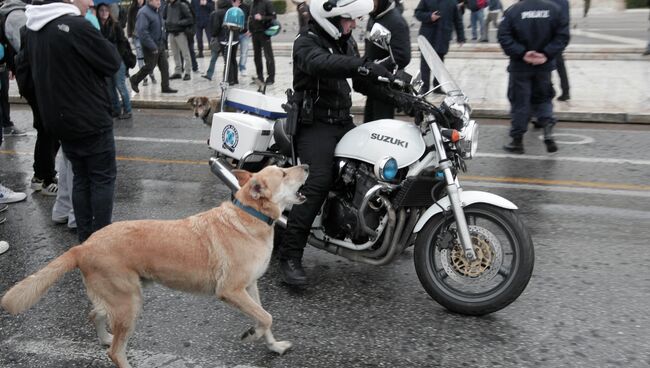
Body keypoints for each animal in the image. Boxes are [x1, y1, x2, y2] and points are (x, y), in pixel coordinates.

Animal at [0, 165, 308, 368]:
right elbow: (266, 317)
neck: (250, 214)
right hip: (130, 302)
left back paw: (105, 337)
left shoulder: (250, 287)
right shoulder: (231, 291)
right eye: (283, 173)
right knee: (116, 353)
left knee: (95, 315)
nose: (305, 165)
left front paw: (273, 345)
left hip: (120, 299)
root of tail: (83, 246)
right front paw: (253, 334)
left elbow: (265, 317)